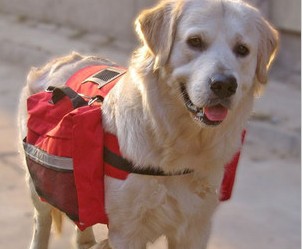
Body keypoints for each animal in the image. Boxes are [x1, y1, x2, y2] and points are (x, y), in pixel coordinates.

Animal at [19, 0, 280, 248]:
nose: (224, 85)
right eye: (195, 42)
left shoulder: (195, 227)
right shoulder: (127, 232)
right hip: (36, 186)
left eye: (242, 49)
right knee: (42, 220)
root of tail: (64, 60)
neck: (176, 139)